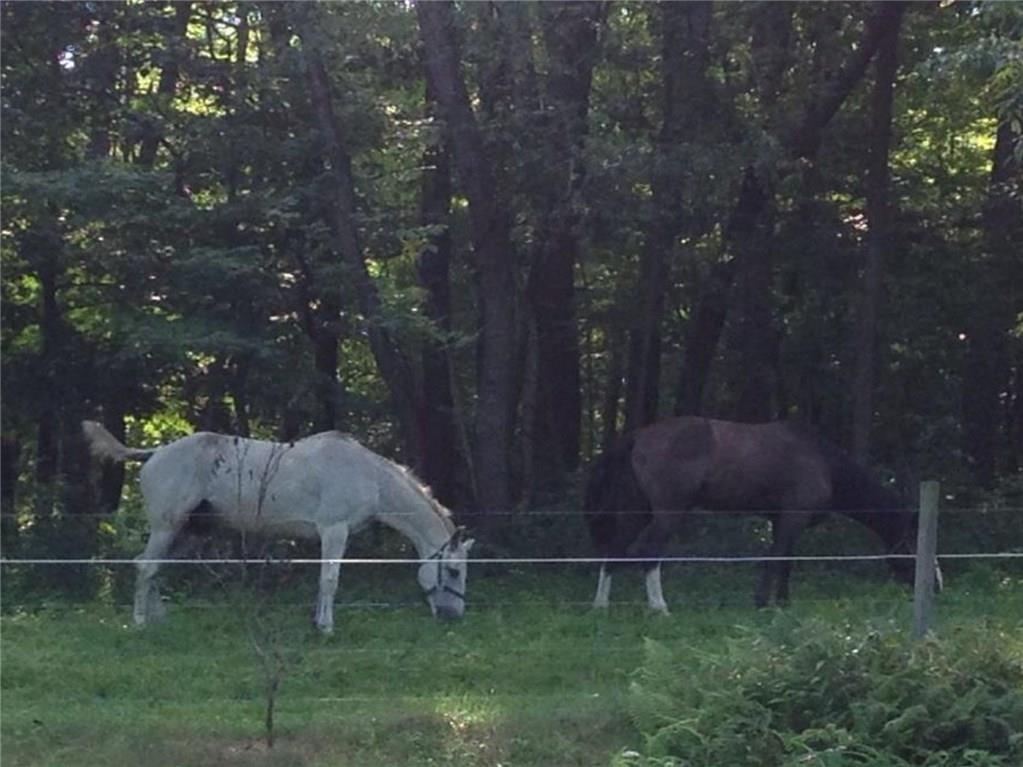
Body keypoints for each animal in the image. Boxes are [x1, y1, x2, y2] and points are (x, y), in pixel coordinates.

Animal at [82, 421, 474, 633]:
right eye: (454, 572)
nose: (453, 617)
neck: (370, 476)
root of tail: (154, 452)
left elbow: (323, 582)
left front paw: (318, 623)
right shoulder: (335, 530)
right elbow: (329, 580)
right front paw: (326, 628)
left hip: (186, 533)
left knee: (153, 569)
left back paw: (160, 620)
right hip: (167, 527)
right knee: (146, 567)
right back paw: (140, 623)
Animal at [585, 416, 941, 611]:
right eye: (914, 543)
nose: (936, 586)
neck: (823, 461)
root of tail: (638, 436)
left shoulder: (782, 519)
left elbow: (785, 561)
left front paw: (781, 602)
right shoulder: (793, 518)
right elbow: (777, 558)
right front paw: (763, 602)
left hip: (637, 512)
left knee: (613, 551)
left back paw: (600, 606)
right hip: (667, 514)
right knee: (649, 551)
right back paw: (659, 607)